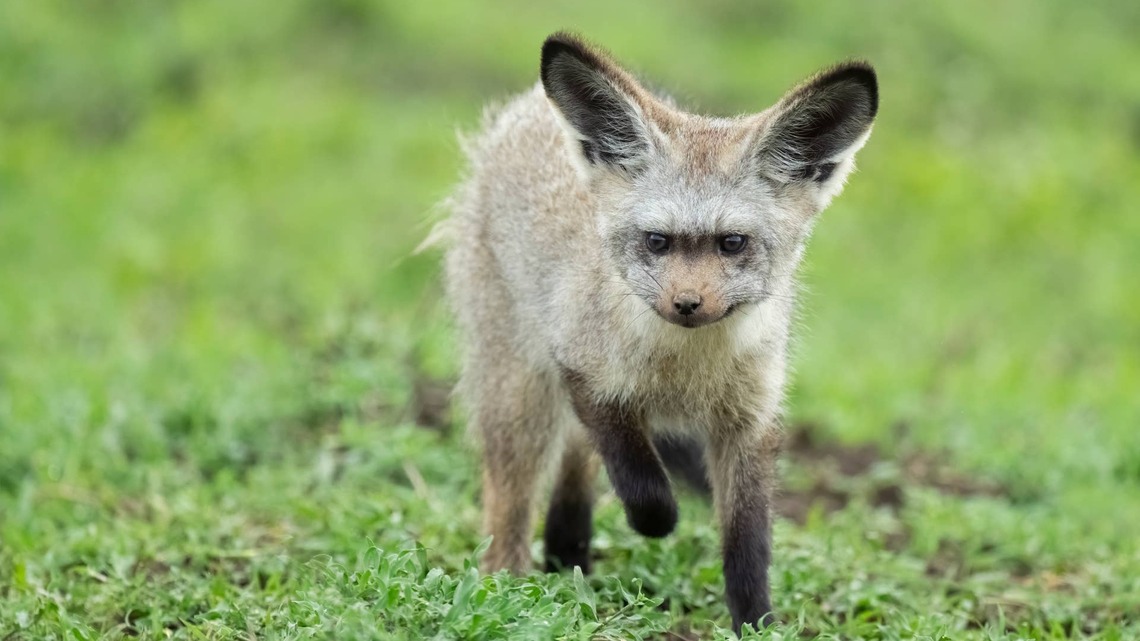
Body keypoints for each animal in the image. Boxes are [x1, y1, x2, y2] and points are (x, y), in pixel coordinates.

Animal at [439, 32, 878, 634]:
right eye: (657, 241)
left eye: (732, 243)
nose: (686, 303)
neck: (684, 370)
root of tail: (527, 105)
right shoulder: (586, 375)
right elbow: (642, 484)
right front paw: (657, 522)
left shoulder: (750, 420)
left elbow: (748, 542)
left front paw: (756, 623)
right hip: (518, 393)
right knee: (512, 494)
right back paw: (505, 581)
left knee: (575, 461)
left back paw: (567, 551)